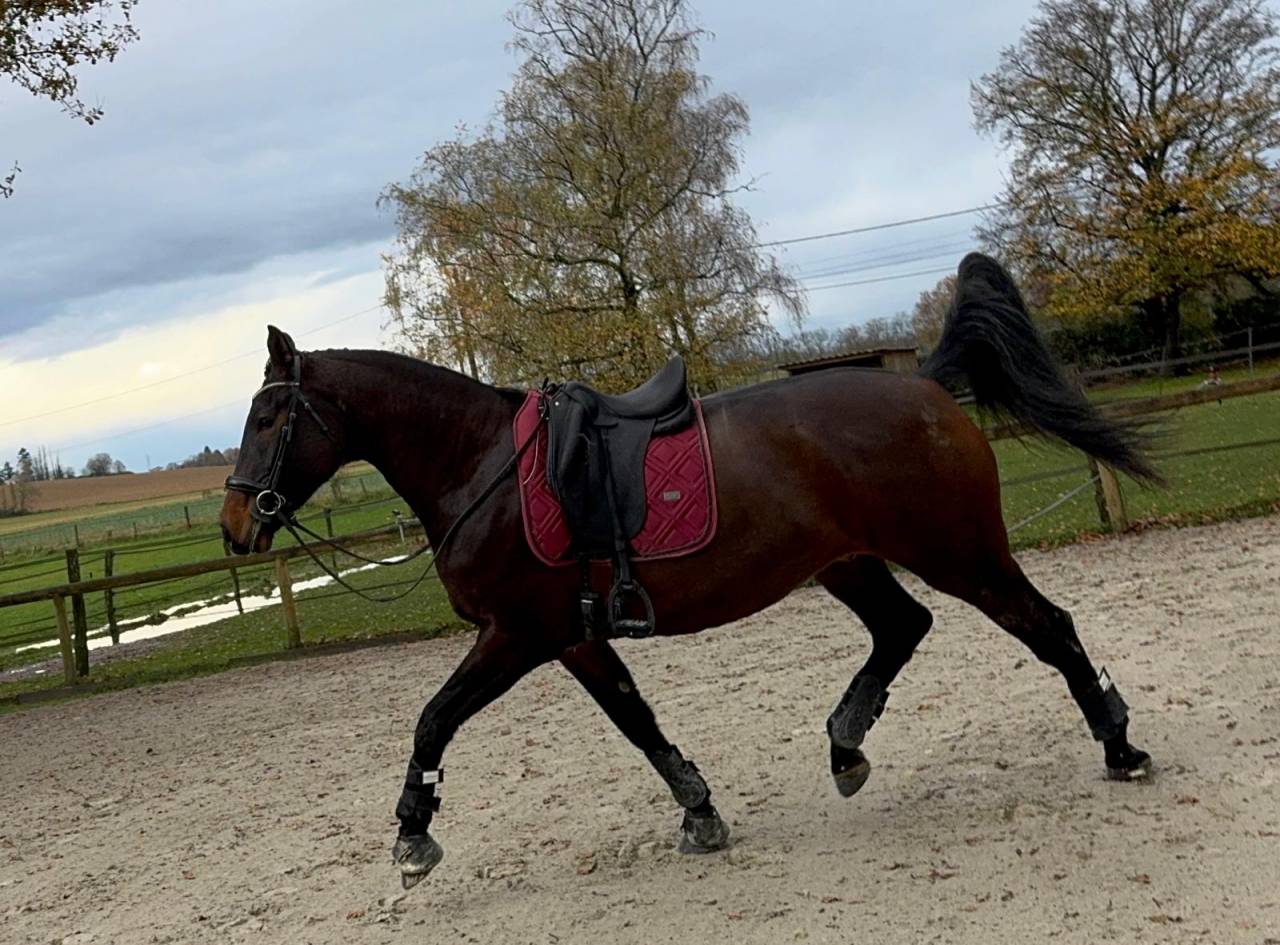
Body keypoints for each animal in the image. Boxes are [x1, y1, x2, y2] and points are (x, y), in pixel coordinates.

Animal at [221, 253, 1157, 890]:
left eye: (267, 416)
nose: (235, 526)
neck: (481, 465)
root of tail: (925, 386)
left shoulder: (518, 633)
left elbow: (432, 721)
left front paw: (413, 834)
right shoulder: (573, 636)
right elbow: (636, 719)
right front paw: (700, 810)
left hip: (957, 551)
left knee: (1047, 627)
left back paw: (1119, 744)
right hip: (849, 562)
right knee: (905, 626)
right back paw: (846, 742)